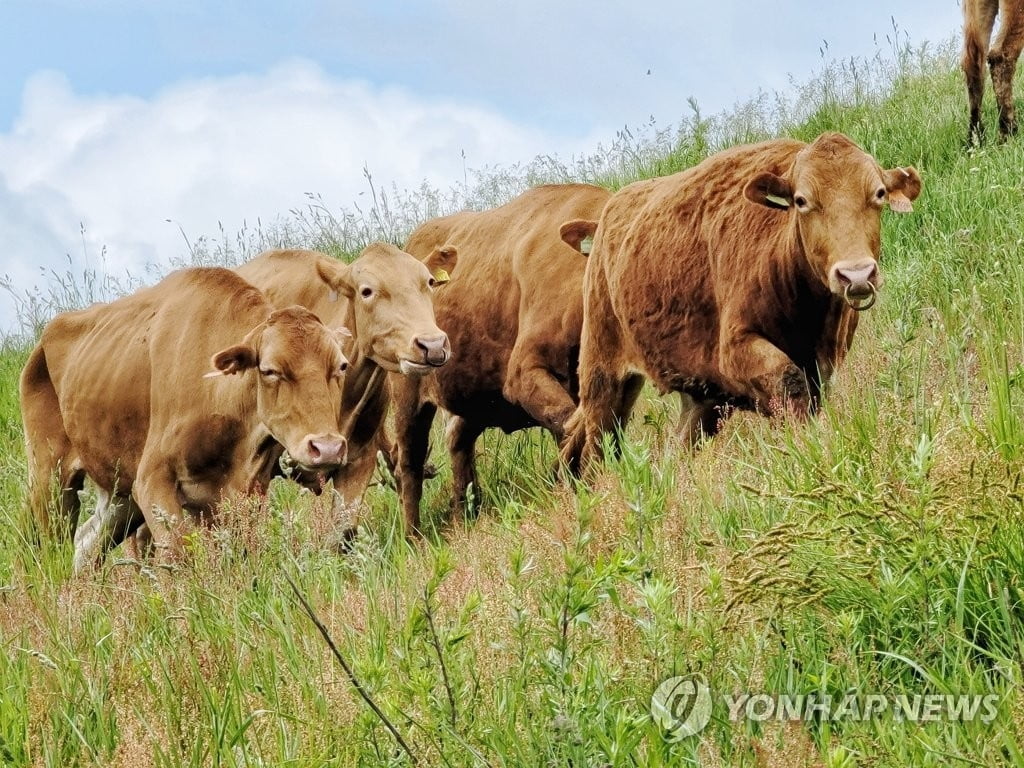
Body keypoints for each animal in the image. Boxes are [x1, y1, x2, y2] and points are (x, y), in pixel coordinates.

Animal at [391, 182, 606, 532]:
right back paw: (413, 536)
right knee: (409, 463)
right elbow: (568, 423)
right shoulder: (524, 372)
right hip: (407, 395)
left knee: (458, 442)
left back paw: (463, 517)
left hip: (471, 393)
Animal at [557, 135, 925, 479]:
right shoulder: (736, 350)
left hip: (700, 399)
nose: (856, 274)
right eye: (802, 201)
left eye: (878, 193)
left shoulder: (823, 364)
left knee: (676, 449)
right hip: (603, 378)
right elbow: (789, 384)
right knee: (595, 452)